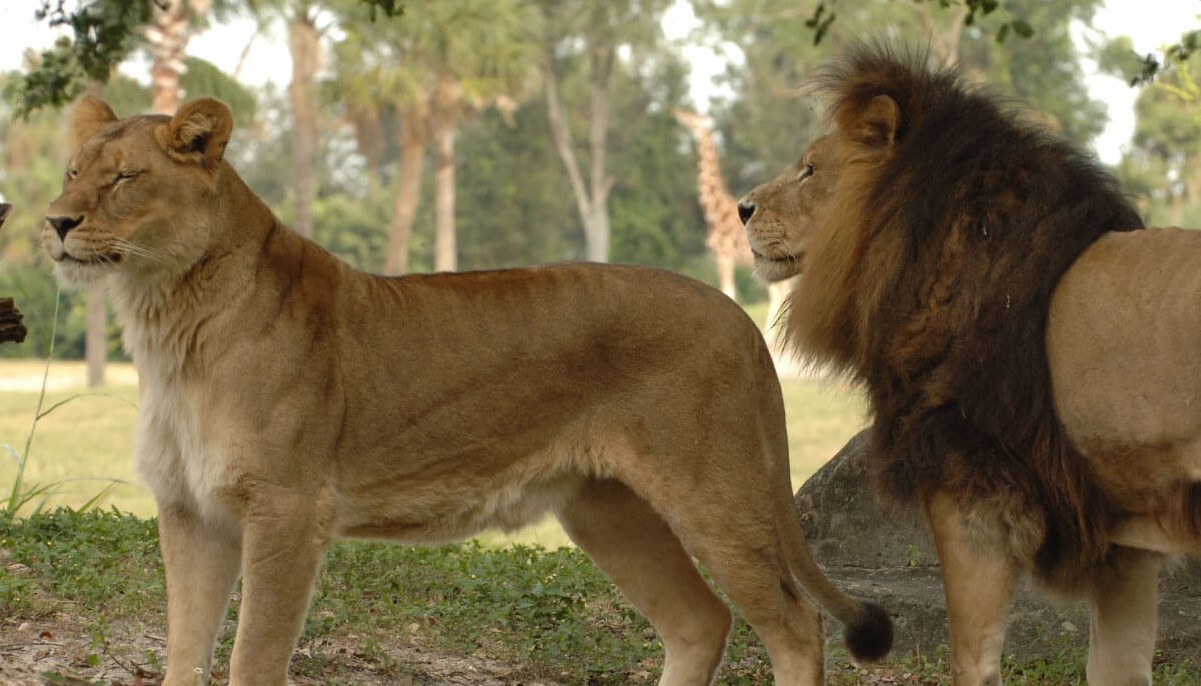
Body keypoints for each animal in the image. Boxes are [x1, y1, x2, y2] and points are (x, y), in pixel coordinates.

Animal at [39, 93, 893, 682]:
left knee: (793, 625)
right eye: (72, 172)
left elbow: (252, 656)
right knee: (700, 622)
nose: (53, 221)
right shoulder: (192, 511)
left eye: (123, 178)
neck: (167, 316)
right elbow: (185, 652)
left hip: (715, 495)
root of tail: (734, 314)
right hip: (608, 510)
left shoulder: (284, 510)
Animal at [735, 45, 1196, 682]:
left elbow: (971, 660)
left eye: (809, 169)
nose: (741, 208)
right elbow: (1116, 665)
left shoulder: (974, 495)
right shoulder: (1124, 545)